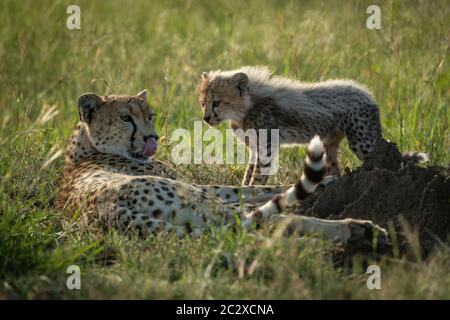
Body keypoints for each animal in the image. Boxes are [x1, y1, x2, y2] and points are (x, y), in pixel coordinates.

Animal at [54, 90, 388, 250]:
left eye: (149, 115)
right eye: (125, 117)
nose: (152, 138)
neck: (87, 147)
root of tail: (106, 210)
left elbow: (254, 190)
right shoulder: (201, 187)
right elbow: (253, 189)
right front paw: (327, 182)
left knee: (260, 224)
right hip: (199, 201)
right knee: (270, 219)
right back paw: (355, 228)